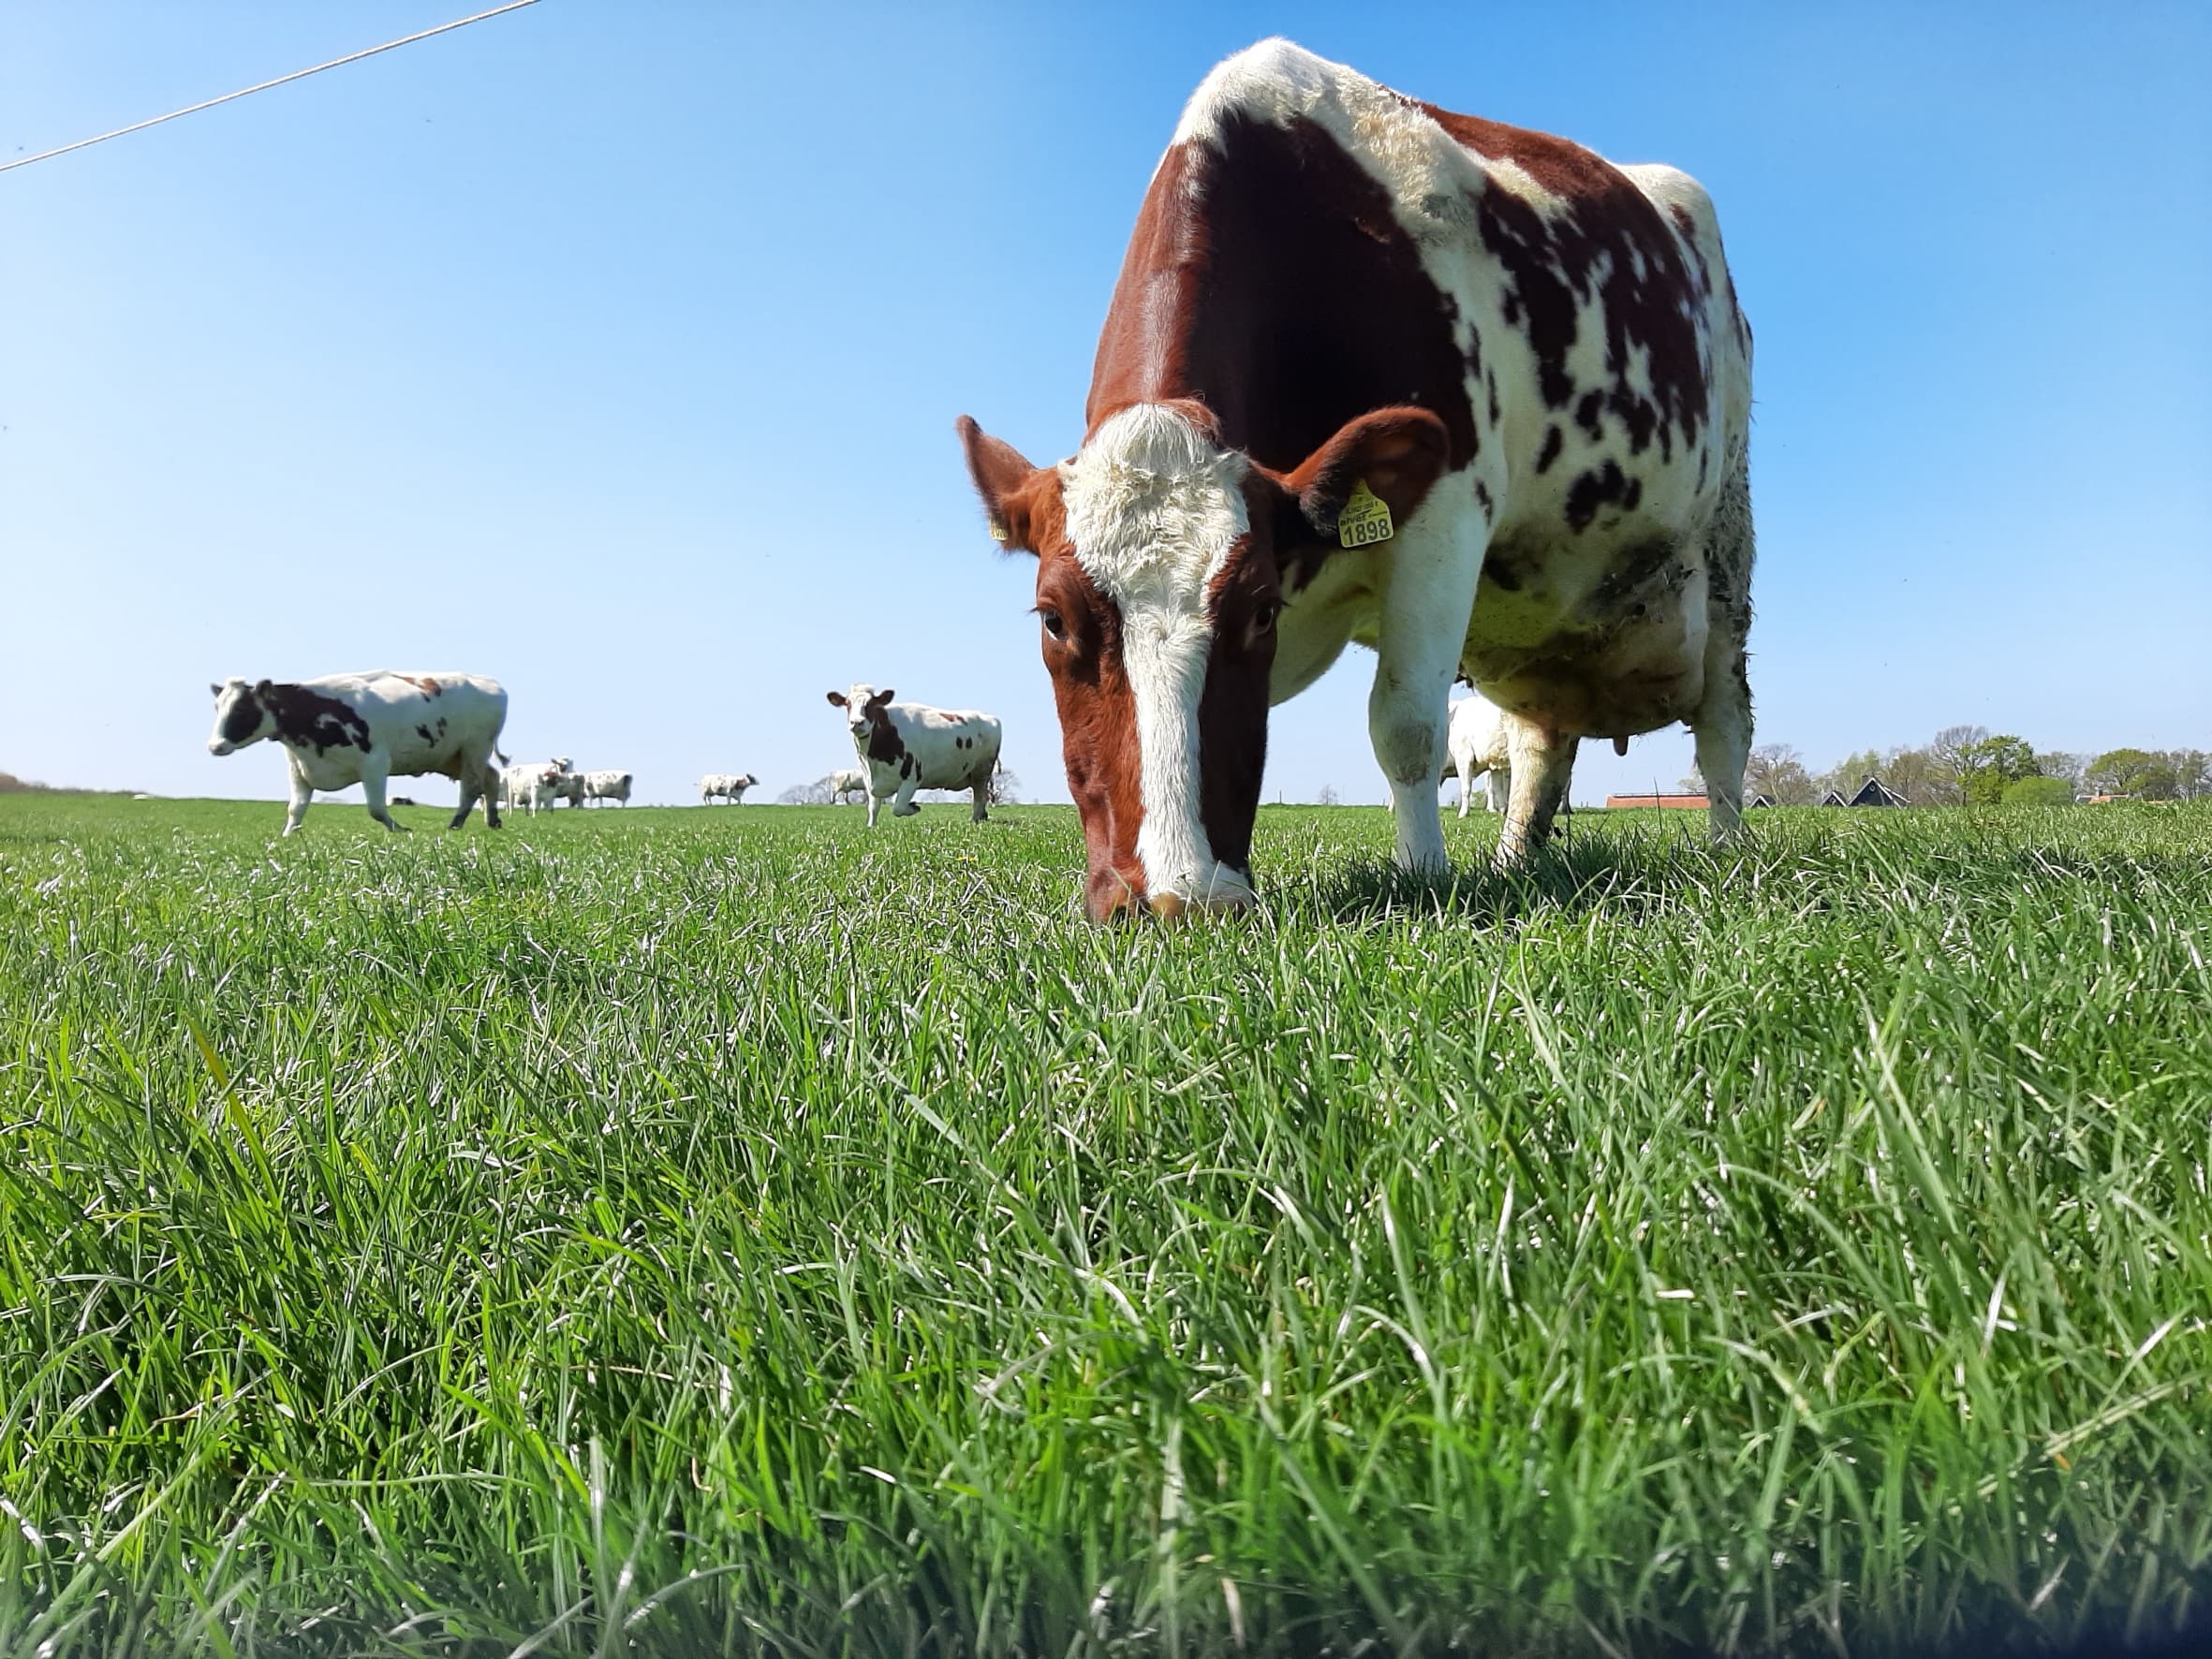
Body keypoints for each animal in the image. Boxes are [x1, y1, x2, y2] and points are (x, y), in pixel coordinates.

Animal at [205, 670, 508, 834]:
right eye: (217, 708)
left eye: (241, 710)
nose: (214, 746)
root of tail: (490, 683)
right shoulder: (298, 768)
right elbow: (295, 809)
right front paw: (286, 836)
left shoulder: (375, 762)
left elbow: (376, 809)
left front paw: (400, 830)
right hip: (451, 756)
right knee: (492, 778)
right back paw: (492, 820)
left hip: (474, 749)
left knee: (471, 787)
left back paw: (455, 825)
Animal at [826, 685, 1003, 828]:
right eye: (848, 704)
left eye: (871, 704)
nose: (857, 722)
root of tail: (989, 717)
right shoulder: (869, 781)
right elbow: (873, 808)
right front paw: (871, 827)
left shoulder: (911, 777)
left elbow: (898, 807)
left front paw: (914, 807)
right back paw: (982, 817)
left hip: (982, 771)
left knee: (980, 797)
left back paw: (974, 820)